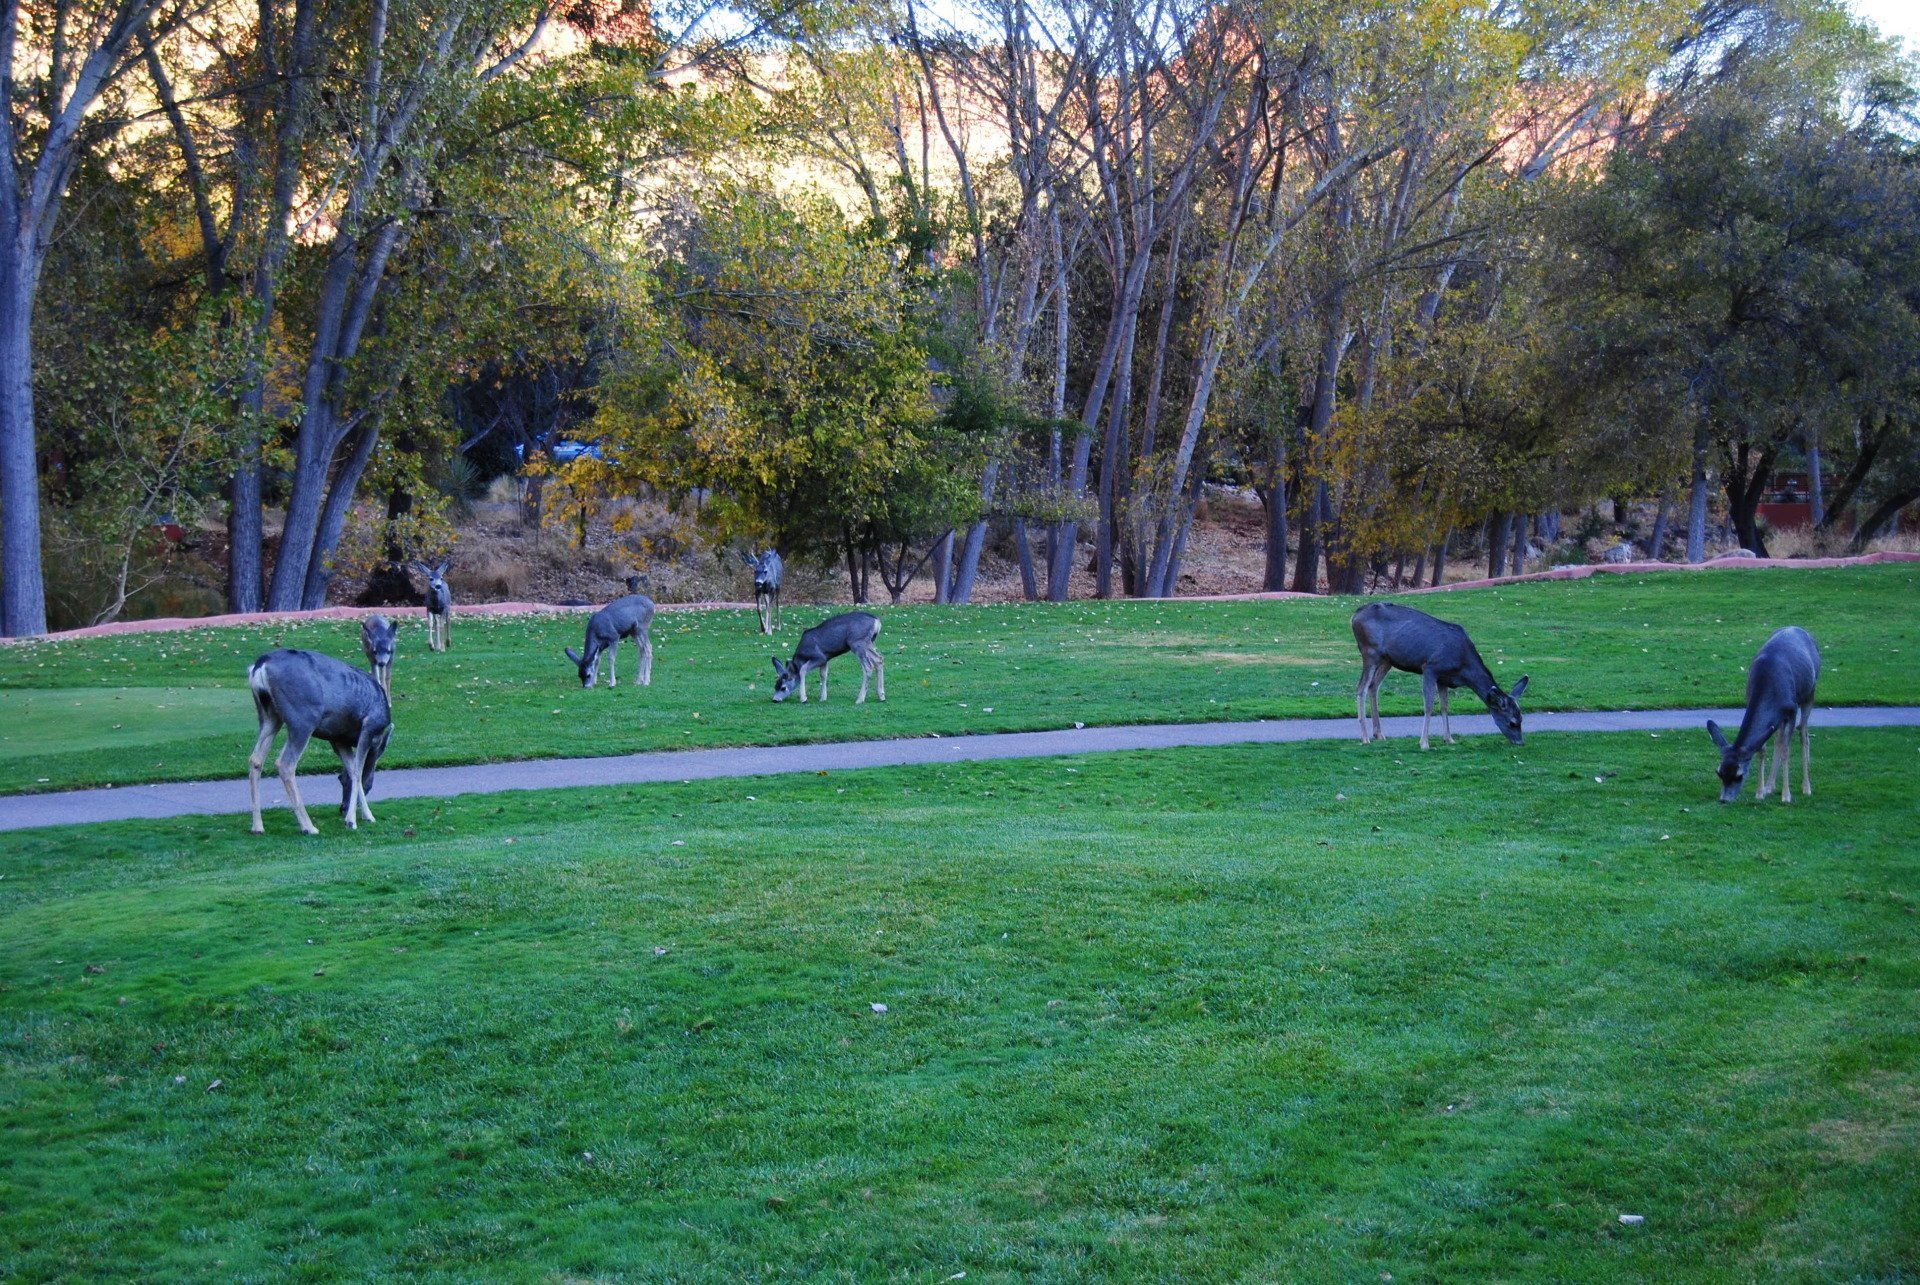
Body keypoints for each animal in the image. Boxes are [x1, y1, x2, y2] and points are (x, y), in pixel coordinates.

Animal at [246, 647, 392, 835]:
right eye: (371, 785)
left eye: (340, 780)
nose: (342, 808)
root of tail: (260, 665)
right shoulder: (369, 726)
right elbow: (358, 771)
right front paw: (352, 820)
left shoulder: (338, 739)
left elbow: (352, 770)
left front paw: (365, 816)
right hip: (303, 717)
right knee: (285, 764)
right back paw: (308, 826)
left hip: (270, 715)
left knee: (256, 759)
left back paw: (257, 826)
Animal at [1351, 601, 1529, 750]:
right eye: (1512, 722)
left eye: (1522, 719)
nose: (1520, 742)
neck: (1463, 667)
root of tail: (1354, 616)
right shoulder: (1430, 668)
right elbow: (1429, 705)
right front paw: (1424, 743)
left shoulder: (1444, 678)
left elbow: (1444, 706)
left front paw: (1449, 739)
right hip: (1370, 651)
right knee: (1361, 688)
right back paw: (1365, 738)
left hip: (1387, 659)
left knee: (1374, 686)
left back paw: (1379, 734)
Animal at [1707, 626, 1820, 804]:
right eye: (1719, 773)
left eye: (1739, 775)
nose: (1724, 799)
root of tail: (1797, 627)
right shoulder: (1750, 699)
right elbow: (1762, 749)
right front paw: (1760, 792)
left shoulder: (1792, 709)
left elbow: (1786, 750)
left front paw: (1786, 795)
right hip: (1780, 718)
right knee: (1779, 739)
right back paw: (1770, 786)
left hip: (1810, 693)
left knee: (1803, 733)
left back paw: (1806, 787)